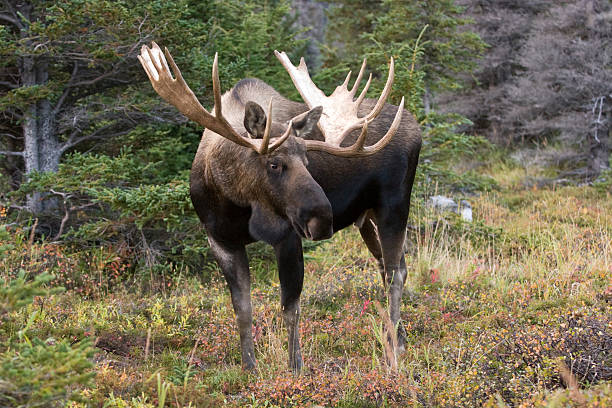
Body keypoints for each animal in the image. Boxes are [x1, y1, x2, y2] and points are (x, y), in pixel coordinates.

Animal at [138, 43, 420, 372]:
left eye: (307, 161)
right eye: (274, 163)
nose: (323, 219)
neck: (237, 203)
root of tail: (415, 125)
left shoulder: (287, 235)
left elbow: (290, 306)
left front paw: (295, 365)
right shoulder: (220, 240)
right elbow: (242, 309)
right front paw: (249, 366)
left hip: (394, 206)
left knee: (394, 274)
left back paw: (392, 349)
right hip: (366, 218)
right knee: (391, 267)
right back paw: (399, 339)